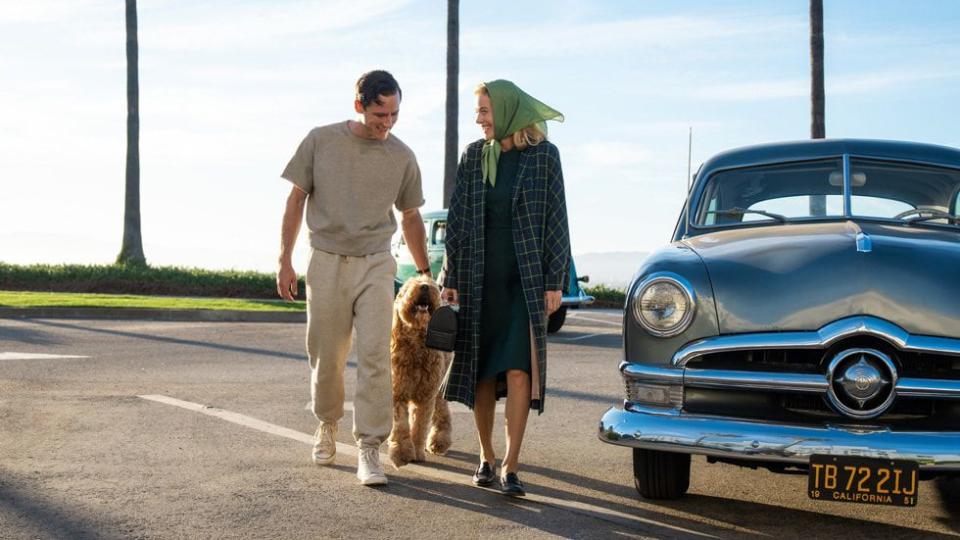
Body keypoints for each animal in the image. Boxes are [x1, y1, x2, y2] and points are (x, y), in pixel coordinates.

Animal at [386, 274, 454, 468]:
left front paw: (415, 451)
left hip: (439, 388)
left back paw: (439, 441)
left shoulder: (425, 396)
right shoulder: (397, 393)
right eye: (407, 288)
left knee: (442, 412)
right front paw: (401, 452)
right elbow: (400, 424)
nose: (424, 286)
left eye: (432, 285)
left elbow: (419, 425)